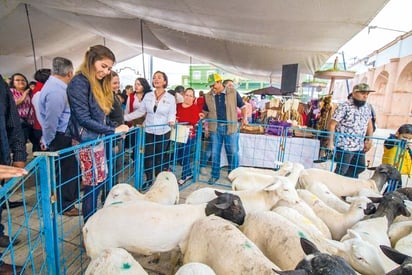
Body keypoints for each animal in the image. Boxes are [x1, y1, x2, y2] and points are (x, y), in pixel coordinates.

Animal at [82, 192, 246, 260]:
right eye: (236, 208)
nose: (244, 220)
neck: (201, 211)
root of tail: (87, 226)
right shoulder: (184, 244)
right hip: (98, 251)